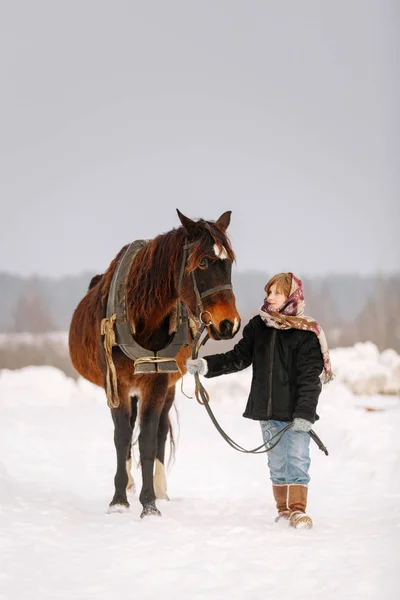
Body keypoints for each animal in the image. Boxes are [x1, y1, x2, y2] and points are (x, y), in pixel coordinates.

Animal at [69, 210, 241, 516]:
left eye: (229, 262)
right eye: (203, 262)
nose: (228, 324)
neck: (141, 316)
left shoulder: (158, 382)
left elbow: (149, 438)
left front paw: (149, 503)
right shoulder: (117, 384)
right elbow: (122, 437)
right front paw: (118, 500)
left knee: (160, 430)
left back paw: (160, 489)